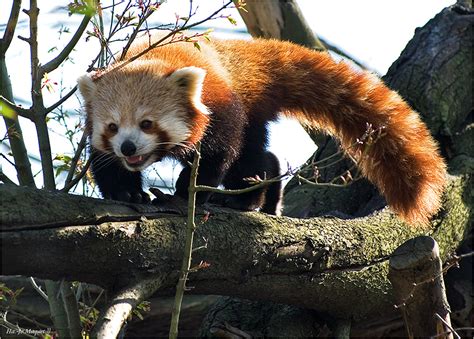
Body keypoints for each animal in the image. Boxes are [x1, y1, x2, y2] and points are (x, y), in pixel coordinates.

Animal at [76, 35, 446, 226]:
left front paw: (183, 193)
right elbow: (105, 164)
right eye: (112, 127)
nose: (128, 147)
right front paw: (128, 193)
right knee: (261, 155)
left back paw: (246, 199)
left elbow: (218, 154)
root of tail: (248, 53)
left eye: (147, 123)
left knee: (248, 161)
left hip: (246, 104)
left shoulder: (220, 107)